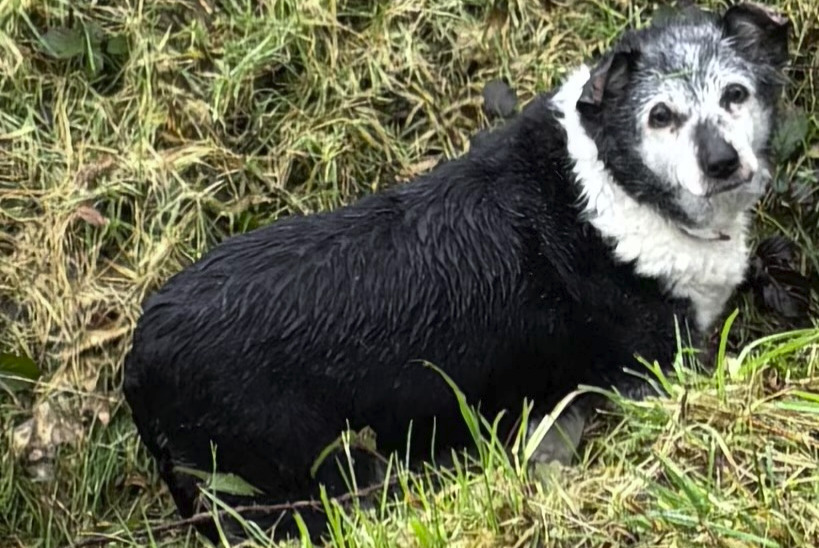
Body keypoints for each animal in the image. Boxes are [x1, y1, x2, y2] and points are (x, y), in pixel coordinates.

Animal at [125, 0, 792, 540]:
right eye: (659, 116)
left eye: (735, 94)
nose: (721, 162)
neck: (619, 186)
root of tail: (137, 356)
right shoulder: (655, 367)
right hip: (298, 486)